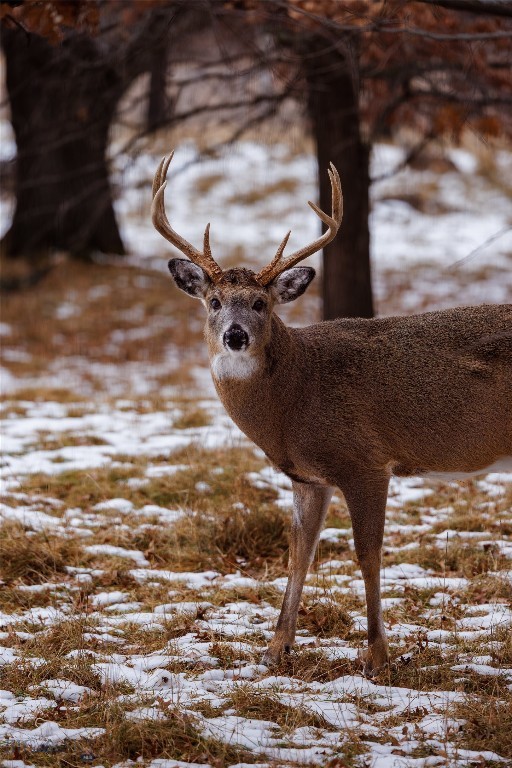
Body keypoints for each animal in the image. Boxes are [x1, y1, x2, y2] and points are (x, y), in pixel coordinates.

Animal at [151, 153, 512, 676]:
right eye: (213, 301)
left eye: (261, 302)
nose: (236, 335)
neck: (296, 398)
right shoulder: (307, 476)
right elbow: (299, 552)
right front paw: (275, 650)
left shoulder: (366, 462)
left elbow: (367, 553)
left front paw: (377, 657)